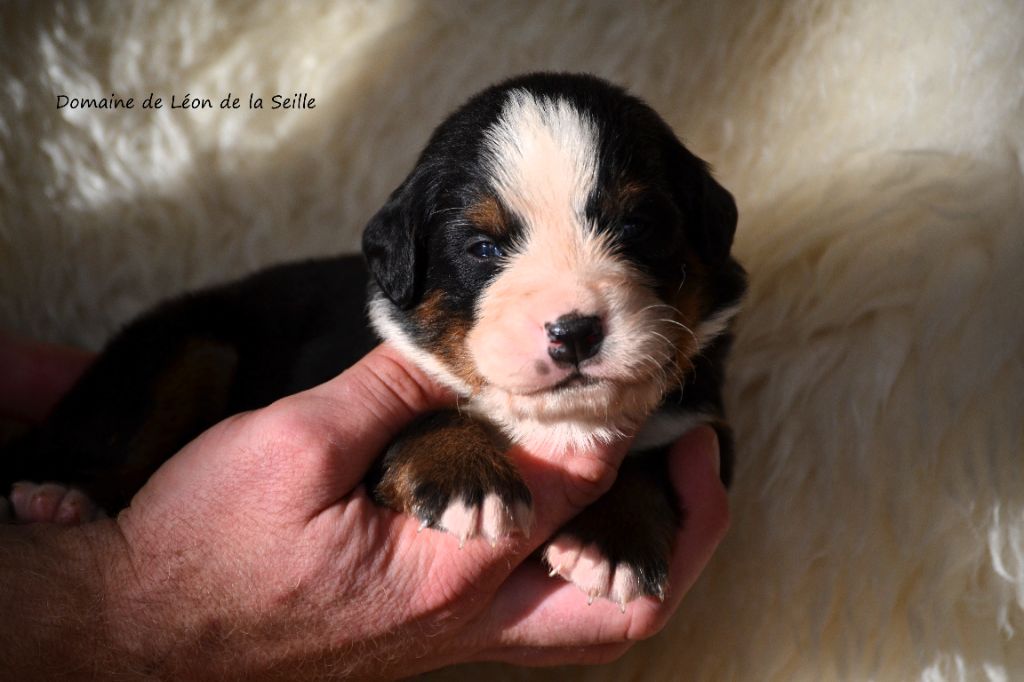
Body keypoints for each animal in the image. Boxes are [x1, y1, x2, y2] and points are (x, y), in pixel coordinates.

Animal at [4, 73, 749, 606]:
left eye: (639, 227)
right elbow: (422, 416)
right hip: (185, 350)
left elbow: (654, 460)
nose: (574, 331)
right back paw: (56, 495)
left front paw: (612, 545)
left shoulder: (700, 418)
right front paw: (467, 477)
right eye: (482, 248)